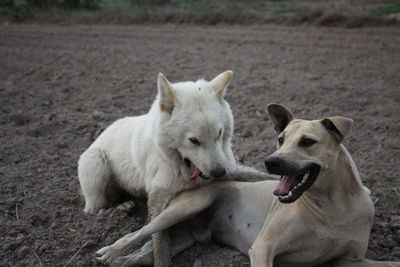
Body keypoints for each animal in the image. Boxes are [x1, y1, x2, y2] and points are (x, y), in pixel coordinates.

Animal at [78, 70, 268, 266]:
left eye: (219, 134)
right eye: (193, 140)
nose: (218, 173)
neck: (180, 167)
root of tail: (106, 128)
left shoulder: (231, 169)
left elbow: (260, 175)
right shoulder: (158, 198)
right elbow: (159, 242)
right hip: (96, 162)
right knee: (97, 207)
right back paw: (121, 209)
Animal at [95, 105, 398, 267]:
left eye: (308, 142)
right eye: (280, 139)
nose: (270, 161)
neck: (333, 208)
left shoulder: (349, 260)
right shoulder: (264, 248)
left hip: (181, 237)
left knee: (147, 252)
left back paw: (124, 260)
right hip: (187, 206)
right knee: (138, 233)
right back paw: (109, 251)